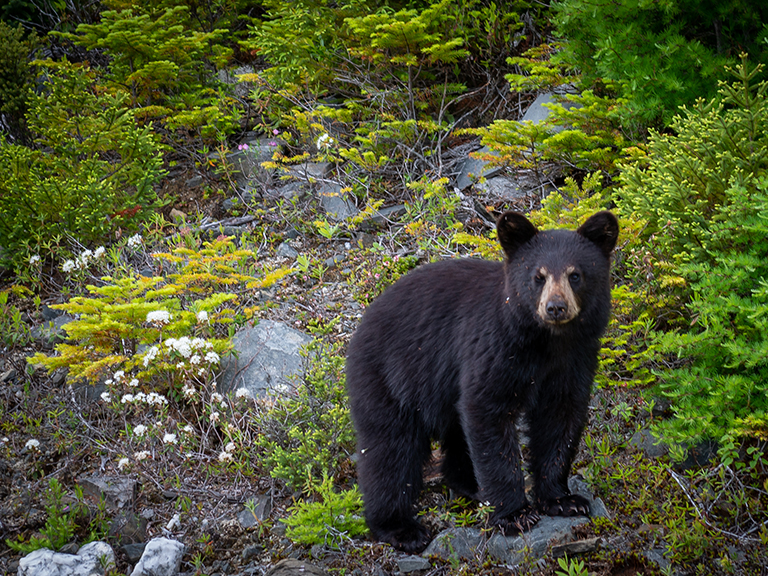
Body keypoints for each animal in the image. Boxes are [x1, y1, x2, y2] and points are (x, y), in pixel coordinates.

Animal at [344, 209, 620, 552]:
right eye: (538, 276)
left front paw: (563, 499)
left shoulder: (575, 359)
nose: (555, 307)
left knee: (455, 433)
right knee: (390, 450)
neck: (546, 342)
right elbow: (488, 412)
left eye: (575, 275)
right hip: (389, 378)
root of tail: (361, 325)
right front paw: (515, 514)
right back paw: (400, 527)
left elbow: (560, 418)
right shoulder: (495, 348)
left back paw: (470, 485)